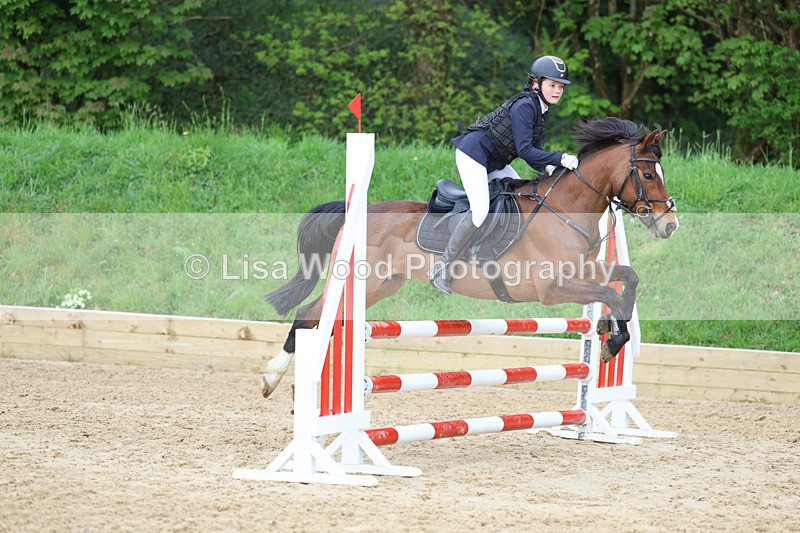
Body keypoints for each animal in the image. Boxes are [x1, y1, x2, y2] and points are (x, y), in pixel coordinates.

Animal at [260, 117, 678, 398]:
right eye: (647, 174)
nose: (669, 224)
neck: (563, 209)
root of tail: (357, 211)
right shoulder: (552, 289)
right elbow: (609, 293)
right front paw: (611, 340)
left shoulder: (587, 270)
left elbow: (627, 279)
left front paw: (609, 332)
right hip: (364, 280)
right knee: (310, 315)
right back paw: (273, 379)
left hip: (381, 285)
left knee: (325, 321)